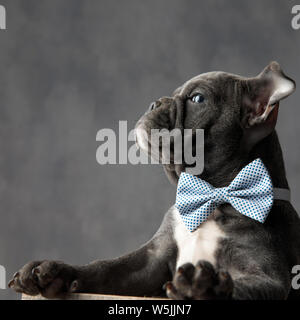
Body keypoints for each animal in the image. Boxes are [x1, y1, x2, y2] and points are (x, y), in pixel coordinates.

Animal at [8, 62, 300, 300]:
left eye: (198, 98)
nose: (154, 103)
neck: (212, 198)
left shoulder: (267, 275)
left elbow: (244, 287)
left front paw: (206, 289)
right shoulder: (150, 260)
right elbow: (105, 267)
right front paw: (55, 271)